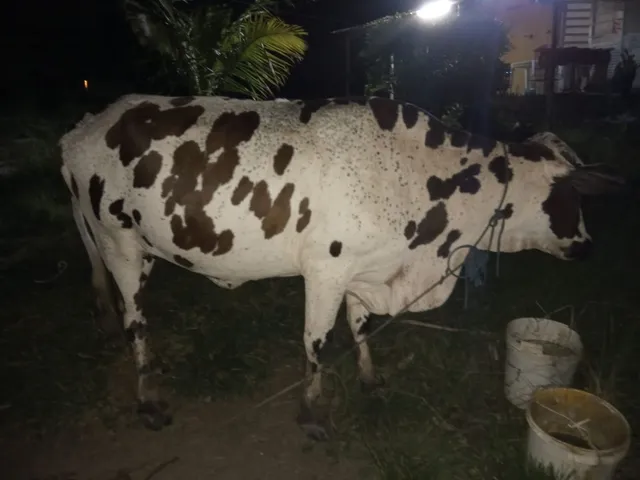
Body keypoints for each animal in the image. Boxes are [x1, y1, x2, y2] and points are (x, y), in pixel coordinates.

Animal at [59, 94, 623, 440]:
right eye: (571, 195)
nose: (587, 245)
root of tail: (84, 127)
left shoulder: (364, 268)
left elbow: (360, 326)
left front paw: (370, 378)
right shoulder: (325, 271)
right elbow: (317, 342)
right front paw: (313, 413)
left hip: (130, 248)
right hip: (120, 243)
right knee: (136, 322)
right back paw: (148, 399)